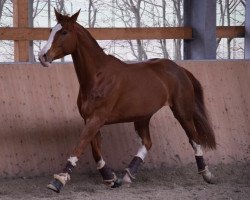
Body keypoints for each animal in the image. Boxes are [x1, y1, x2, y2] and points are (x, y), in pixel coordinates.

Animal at [38, 10, 216, 193]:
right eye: (51, 30)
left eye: (64, 32)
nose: (43, 56)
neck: (98, 76)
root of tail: (179, 69)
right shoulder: (90, 119)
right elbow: (95, 150)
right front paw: (111, 179)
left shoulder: (97, 119)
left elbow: (80, 146)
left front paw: (58, 181)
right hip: (143, 117)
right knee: (147, 143)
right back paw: (128, 176)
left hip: (182, 112)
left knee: (194, 140)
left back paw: (207, 174)